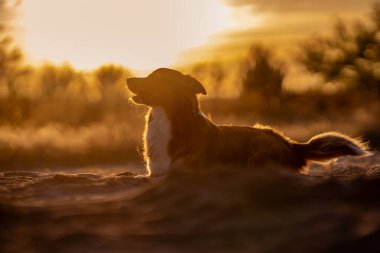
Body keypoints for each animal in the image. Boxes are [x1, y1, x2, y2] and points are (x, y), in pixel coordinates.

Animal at [127, 68, 368, 177]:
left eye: (155, 78)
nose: (127, 79)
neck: (169, 117)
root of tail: (290, 144)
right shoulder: (154, 173)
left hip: (259, 150)